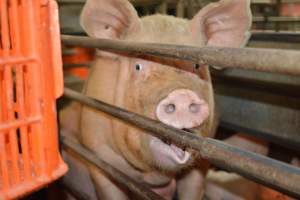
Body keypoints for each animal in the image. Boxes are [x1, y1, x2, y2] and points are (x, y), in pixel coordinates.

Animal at [61, 0, 253, 199]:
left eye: (196, 65)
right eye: (138, 66)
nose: (182, 95)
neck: (154, 174)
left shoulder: (201, 162)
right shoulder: (98, 153)